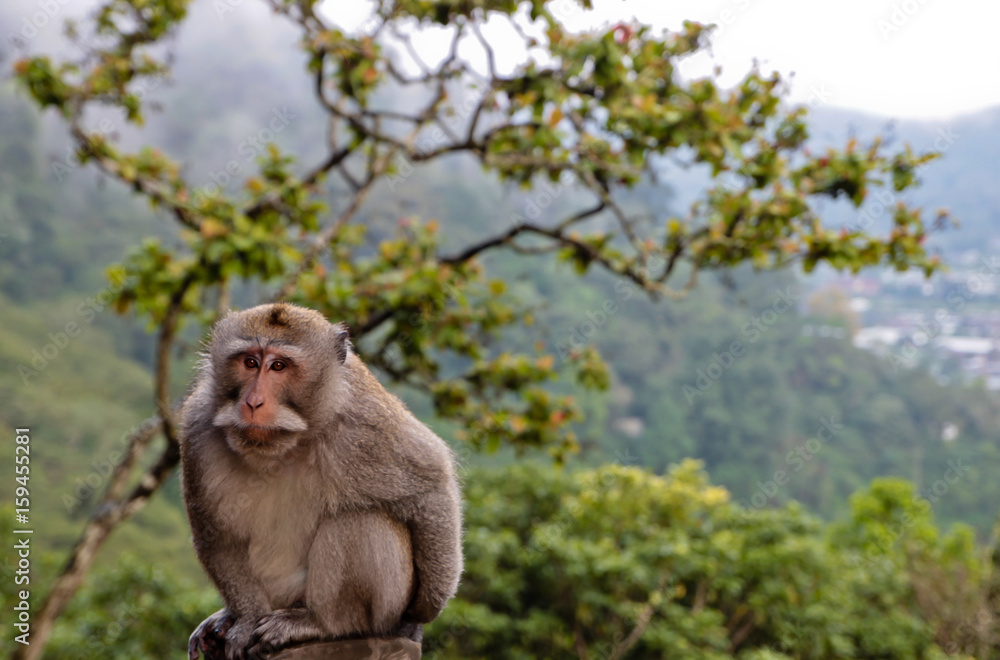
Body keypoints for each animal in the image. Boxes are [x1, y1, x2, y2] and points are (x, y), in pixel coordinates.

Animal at [181, 303, 463, 660]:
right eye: (250, 362)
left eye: (279, 366)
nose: (253, 402)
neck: (284, 445)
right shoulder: (197, 425)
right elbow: (215, 533)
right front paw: (245, 621)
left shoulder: (366, 422)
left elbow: (432, 483)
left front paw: (420, 614)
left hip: (377, 608)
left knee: (360, 521)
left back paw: (321, 623)